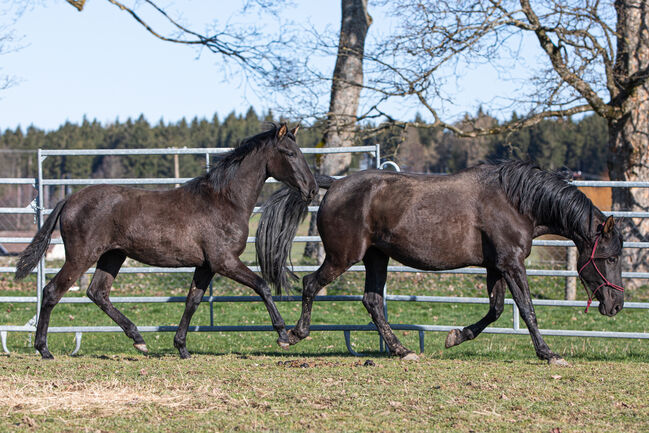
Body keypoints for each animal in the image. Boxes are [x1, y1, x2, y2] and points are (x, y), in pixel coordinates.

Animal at [13, 123, 318, 360]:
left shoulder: (206, 265)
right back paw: (44, 349)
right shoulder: (224, 261)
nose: (313, 190)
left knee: (97, 292)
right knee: (52, 291)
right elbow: (262, 286)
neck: (223, 200)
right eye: (290, 153)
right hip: (82, 256)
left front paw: (181, 347)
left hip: (112, 256)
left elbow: (192, 301)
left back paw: (139, 340)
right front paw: (284, 335)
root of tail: (69, 200)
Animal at [256, 160, 624, 362]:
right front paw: (549, 354)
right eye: (609, 257)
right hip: (344, 256)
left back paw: (402, 350)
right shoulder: (511, 263)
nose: (616, 305)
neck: (515, 202)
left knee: (372, 301)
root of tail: (334, 185)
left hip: (376, 257)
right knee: (311, 284)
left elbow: (496, 309)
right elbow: (527, 310)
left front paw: (455, 336)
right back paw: (293, 335)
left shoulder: (495, 266)